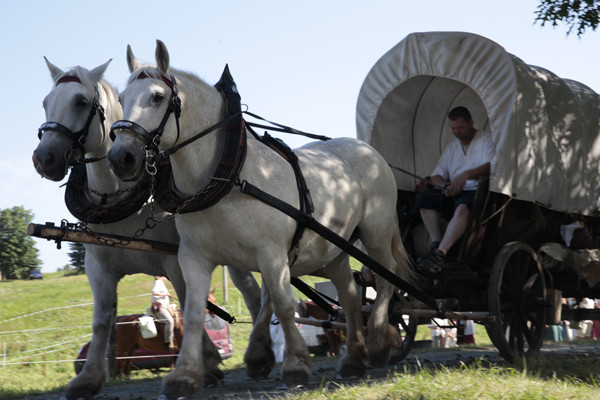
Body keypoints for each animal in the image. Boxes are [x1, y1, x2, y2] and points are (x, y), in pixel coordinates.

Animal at [31, 59, 263, 400]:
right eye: (46, 102)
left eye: (81, 102)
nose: (43, 158)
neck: (118, 196)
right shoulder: (98, 267)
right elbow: (101, 320)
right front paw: (88, 379)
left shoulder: (175, 261)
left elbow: (187, 304)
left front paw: (206, 364)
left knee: (253, 294)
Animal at [107, 40, 416, 399]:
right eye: (121, 99)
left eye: (157, 97)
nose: (121, 158)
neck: (229, 178)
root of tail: (367, 149)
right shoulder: (195, 257)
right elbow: (196, 311)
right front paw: (184, 375)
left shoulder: (271, 254)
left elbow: (282, 304)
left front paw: (295, 365)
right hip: (335, 249)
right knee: (352, 297)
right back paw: (353, 357)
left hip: (375, 232)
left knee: (384, 278)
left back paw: (379, 341)